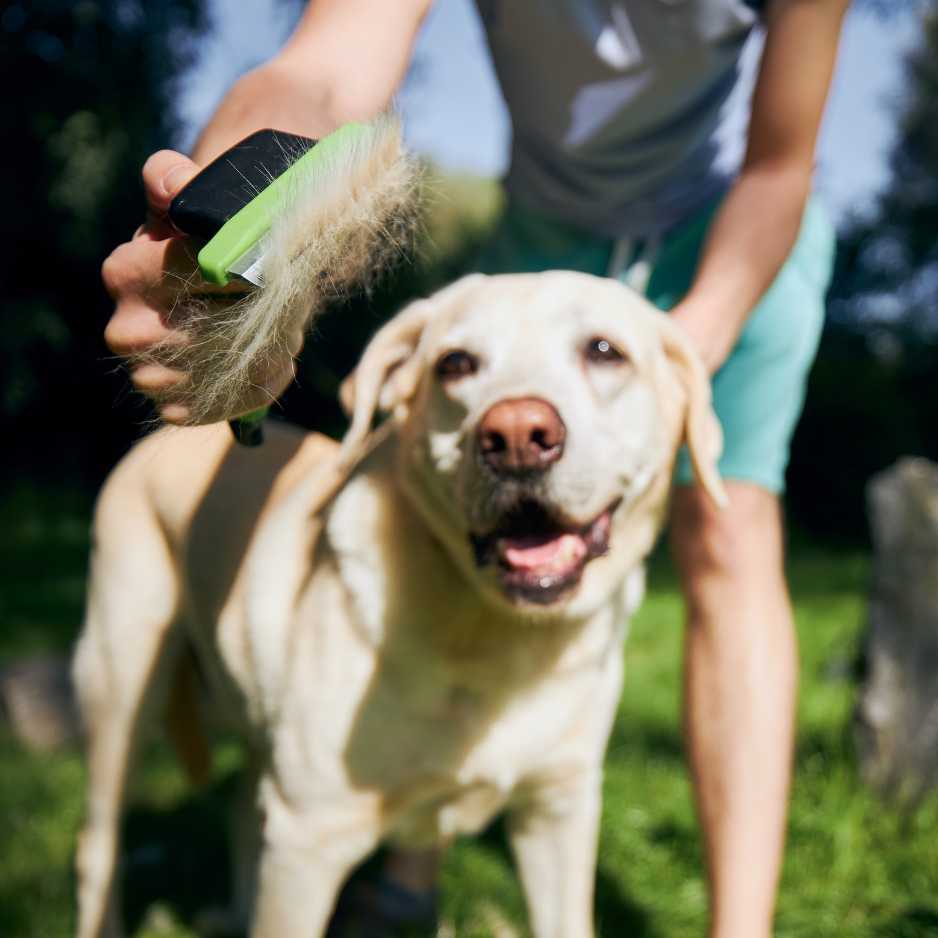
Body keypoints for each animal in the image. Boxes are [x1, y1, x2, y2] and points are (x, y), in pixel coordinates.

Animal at [73, 270, 724, 936]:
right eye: (455, 364)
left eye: (604, 351)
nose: (517, 435)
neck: (497, 635)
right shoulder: (308, 838)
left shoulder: (559, 812)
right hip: (122, 684)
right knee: (98, 846)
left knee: (238, 815)